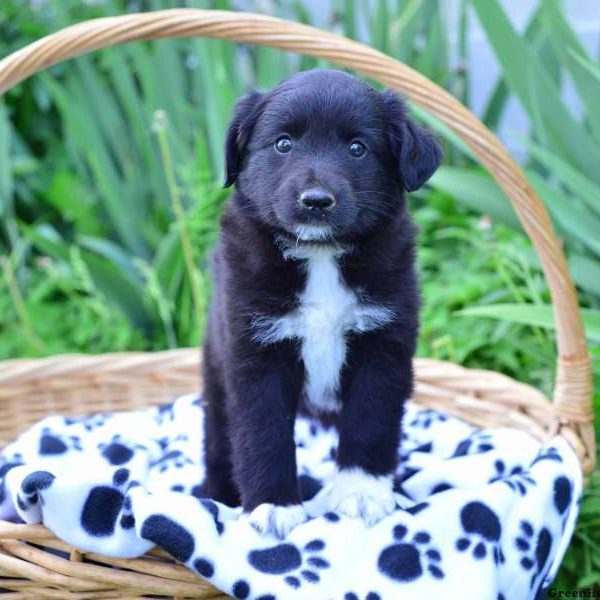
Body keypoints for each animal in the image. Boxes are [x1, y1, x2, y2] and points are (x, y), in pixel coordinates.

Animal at [202, 68, 440, 536]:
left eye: (357, 148)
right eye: (283, 144)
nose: (316, 201)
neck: (321, 256)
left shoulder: (382, 348)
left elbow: (371, 424)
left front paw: (362, 493)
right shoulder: (255, 354)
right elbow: (263, 434)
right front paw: (273, 505)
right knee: (219, 441)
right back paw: (216, 494)